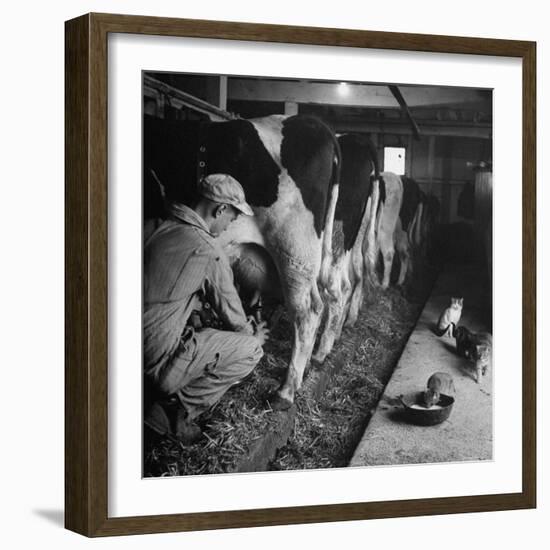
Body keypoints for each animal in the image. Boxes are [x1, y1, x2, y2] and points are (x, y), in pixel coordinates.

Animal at [312, 134, 382, 364]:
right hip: (356, 233)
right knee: (357, 275)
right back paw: (345, 325)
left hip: (337, 229)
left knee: (338, 285)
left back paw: (321, 351)